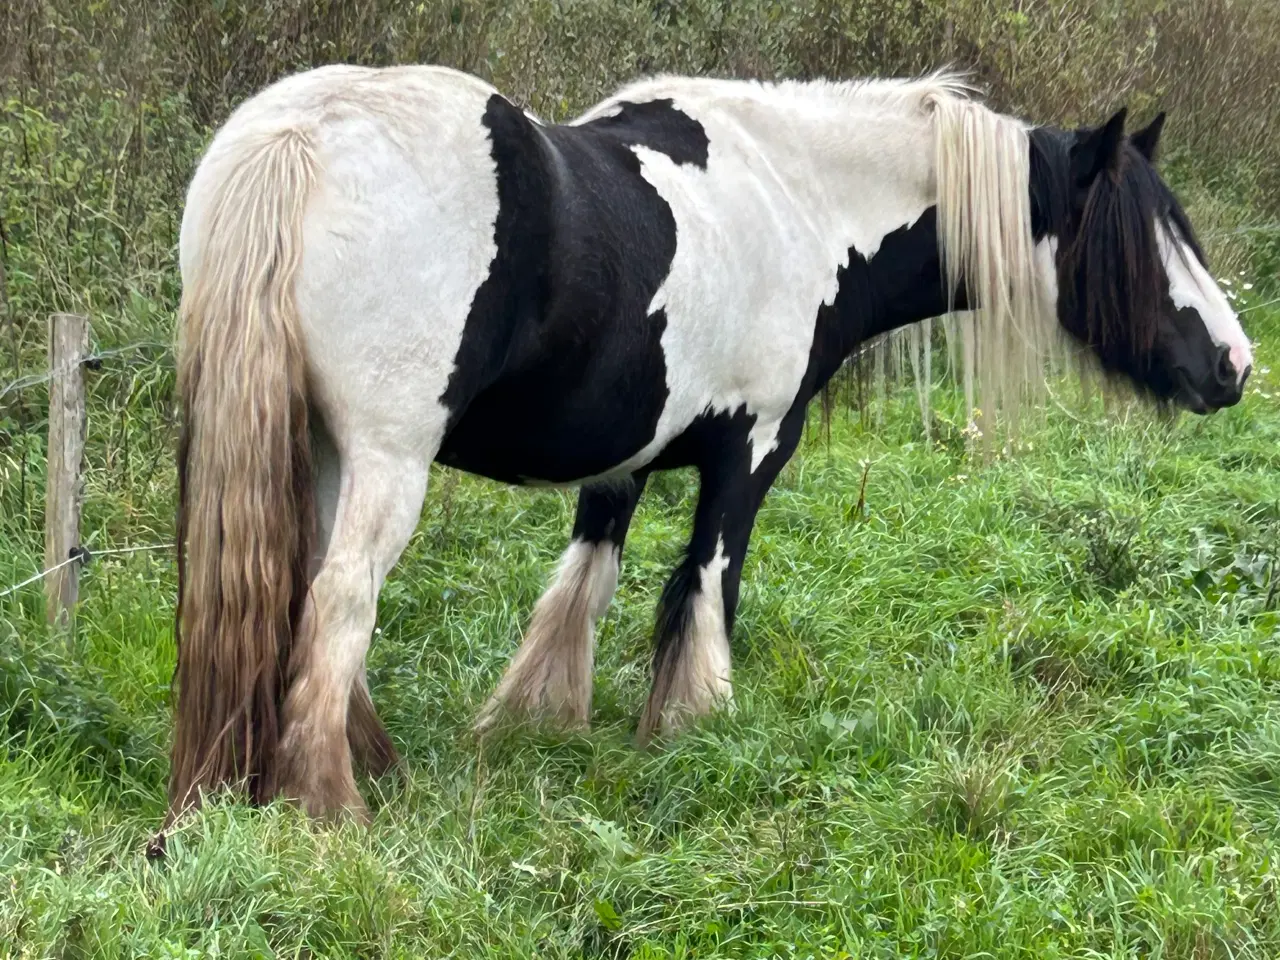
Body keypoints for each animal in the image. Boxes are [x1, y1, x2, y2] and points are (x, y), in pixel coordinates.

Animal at [160, 62, 1249, 829]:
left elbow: (583, 585)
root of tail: (300, 134)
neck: (802, 202)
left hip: (320, 450)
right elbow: (707, 588)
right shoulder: (751, 451)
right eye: (1140, 236)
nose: (1234, 365)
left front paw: (539, 724)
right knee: (342, 597)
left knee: (300, 587)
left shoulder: (622, 461)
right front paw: (694, 733)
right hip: (387, 459)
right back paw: (331, 801)